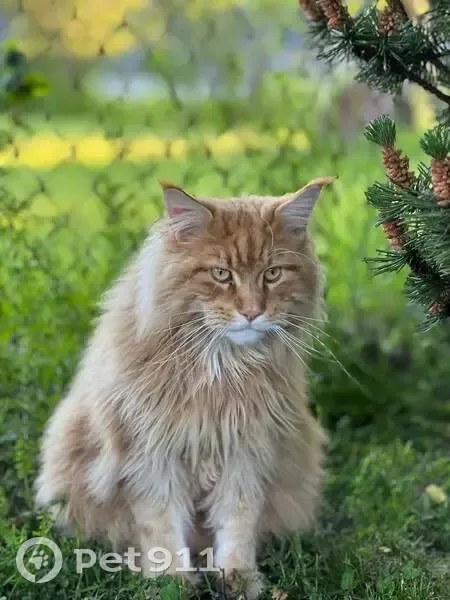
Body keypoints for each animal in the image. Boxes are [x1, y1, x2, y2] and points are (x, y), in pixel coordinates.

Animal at [35, 177, 334, 599]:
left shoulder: (247, 452)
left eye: (273, 273)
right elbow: (162, 528)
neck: (222, 367)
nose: (252, 312)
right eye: (221, 274)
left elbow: (238, 524)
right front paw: (171, 581)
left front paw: (238, 579)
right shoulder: (150, 456)